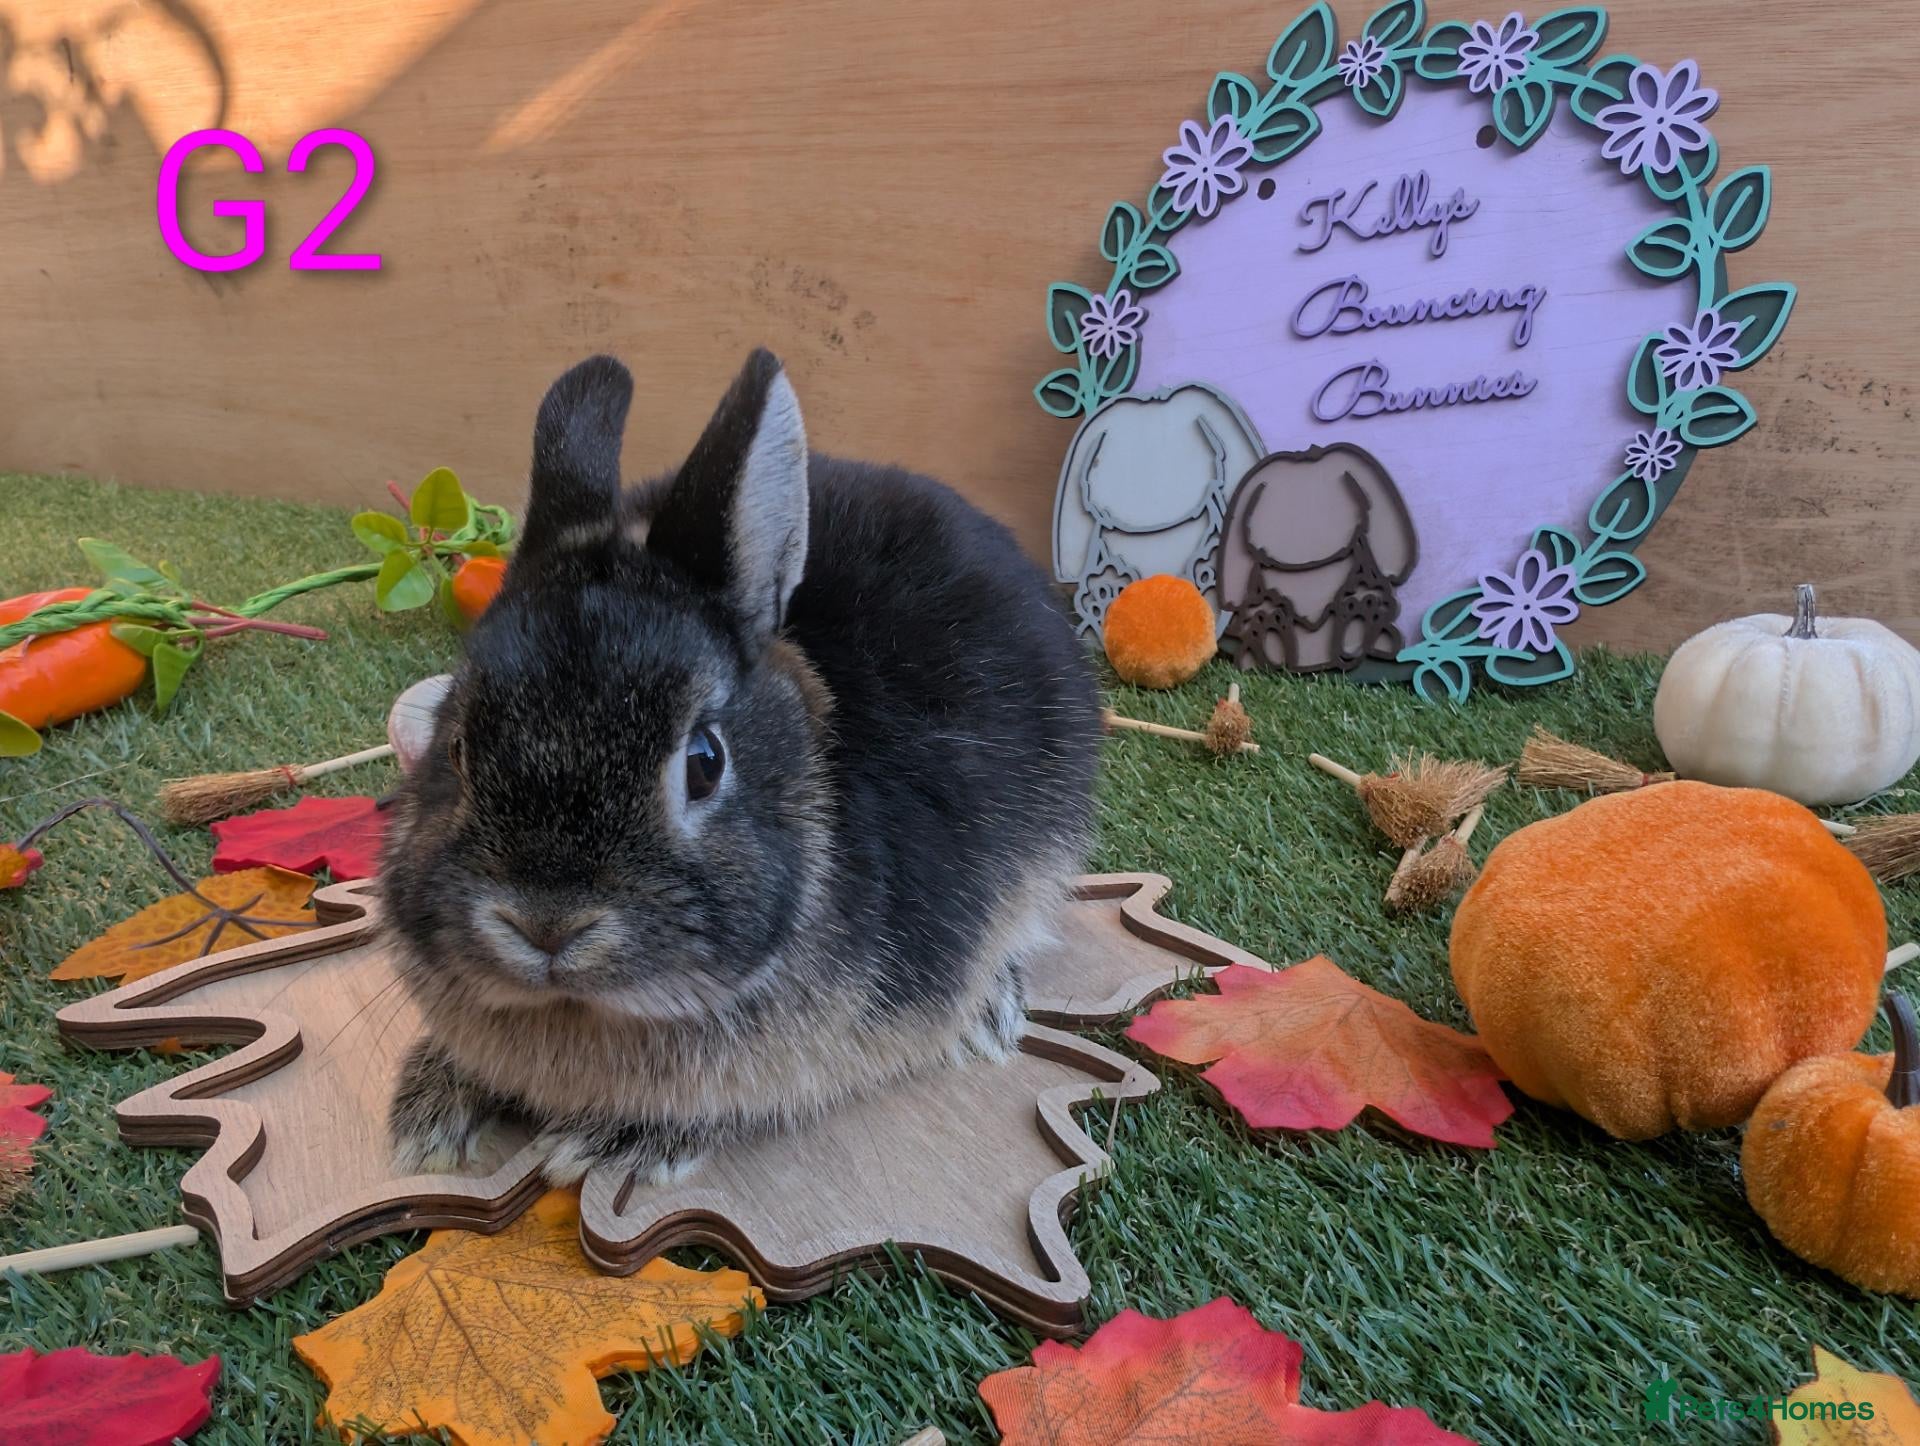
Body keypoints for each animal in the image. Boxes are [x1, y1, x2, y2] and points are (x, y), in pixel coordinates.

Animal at [383, 348, 1102, 1188]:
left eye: (704, 762)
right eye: (456, 746)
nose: (545, 924)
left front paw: (610, 1142)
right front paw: (432, 1107)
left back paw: (989, 1012)